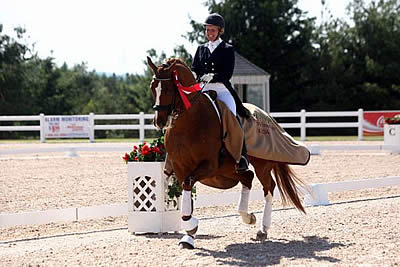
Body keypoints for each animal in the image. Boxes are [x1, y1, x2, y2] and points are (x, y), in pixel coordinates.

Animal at [147, 56, 306, 249]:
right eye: (153, 87)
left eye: (169, 88)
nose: (159, 121)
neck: (189, 122)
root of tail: (266, 115)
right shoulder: (179, 166)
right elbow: (185, 188)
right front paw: (189, 235)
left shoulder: (209, 165)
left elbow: (188, 183)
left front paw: (191, 227)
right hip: (229, 170)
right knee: (248, 178)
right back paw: (248, 217)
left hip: (261, 164)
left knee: (268, 187)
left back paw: (263, 228)